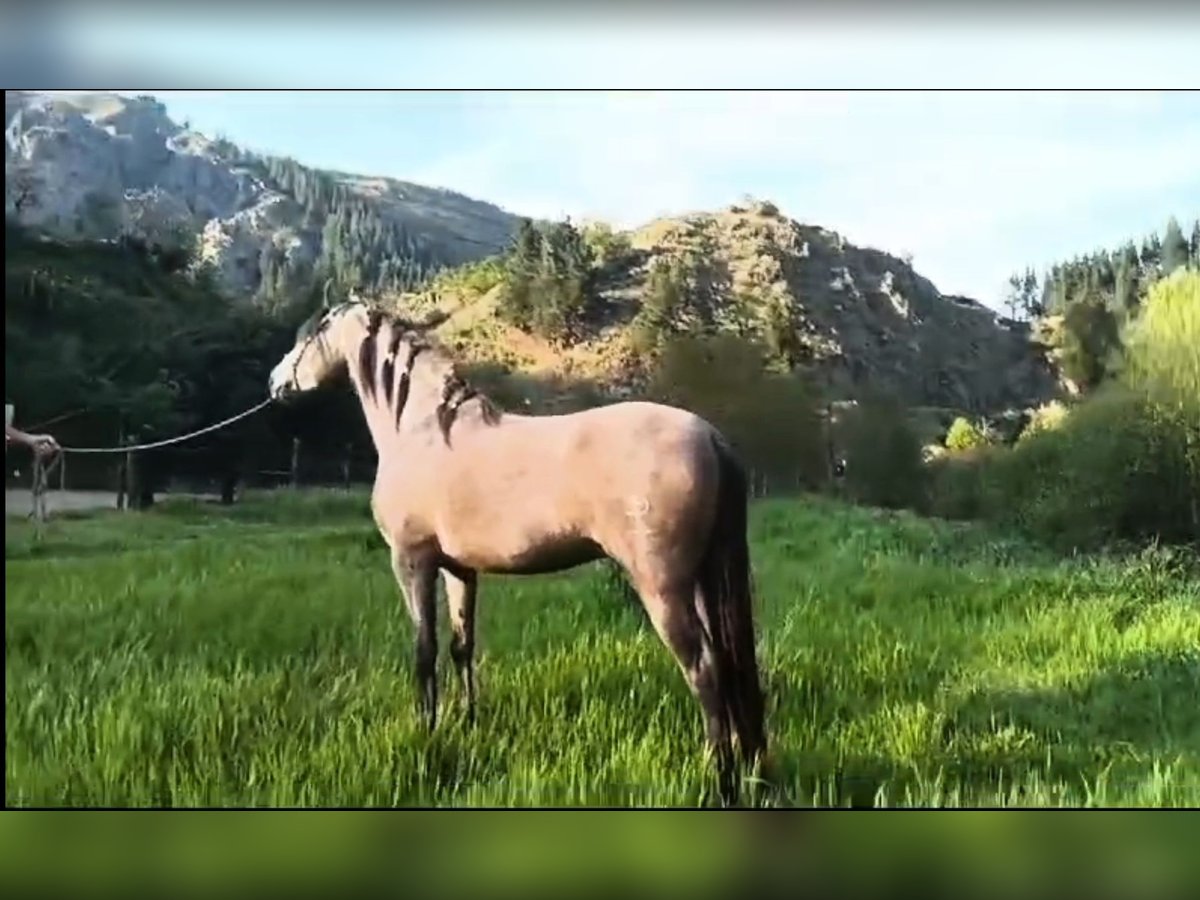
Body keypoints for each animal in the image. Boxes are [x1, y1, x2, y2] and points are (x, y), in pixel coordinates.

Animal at [267, 300, 763, 806]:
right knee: (728, 664)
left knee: (703, 669)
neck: (425, 432)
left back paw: (721, 780)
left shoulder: (413, 562)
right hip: (702, 580)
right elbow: (461, 645)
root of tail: (710, 437)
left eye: (309, 334)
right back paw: (748, 768)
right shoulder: (460, 570)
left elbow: (424, 651)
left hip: (663, 589)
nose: (275, 382)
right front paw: (468, 723)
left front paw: (427, 731)